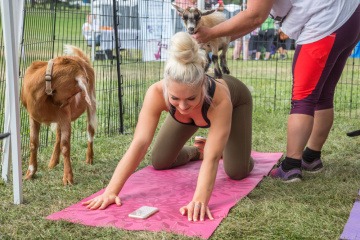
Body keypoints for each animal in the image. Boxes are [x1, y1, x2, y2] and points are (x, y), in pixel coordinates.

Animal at [21, 44, 97, 185]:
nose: (63, 103)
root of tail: (83, 59)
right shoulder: (33, 117)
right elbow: (33, 143)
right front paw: (30, 173)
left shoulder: (64, 115)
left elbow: (65, 145)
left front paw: (68, 178)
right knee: (58, 136)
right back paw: (53, 162)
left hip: (91, 105)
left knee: (90, 131)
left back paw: (89, 158)